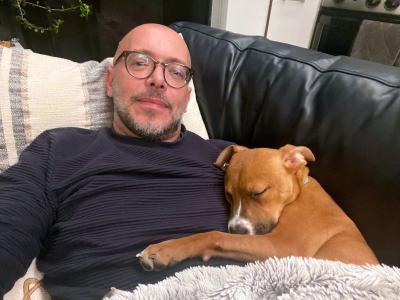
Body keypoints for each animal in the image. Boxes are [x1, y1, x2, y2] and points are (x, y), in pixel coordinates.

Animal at [138, 144, 378, 270]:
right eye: (228, 195)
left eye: (259, 192)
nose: (236, 229)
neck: (299, 193)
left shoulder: (284, 247)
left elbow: (214, 236)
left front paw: (165, 250)